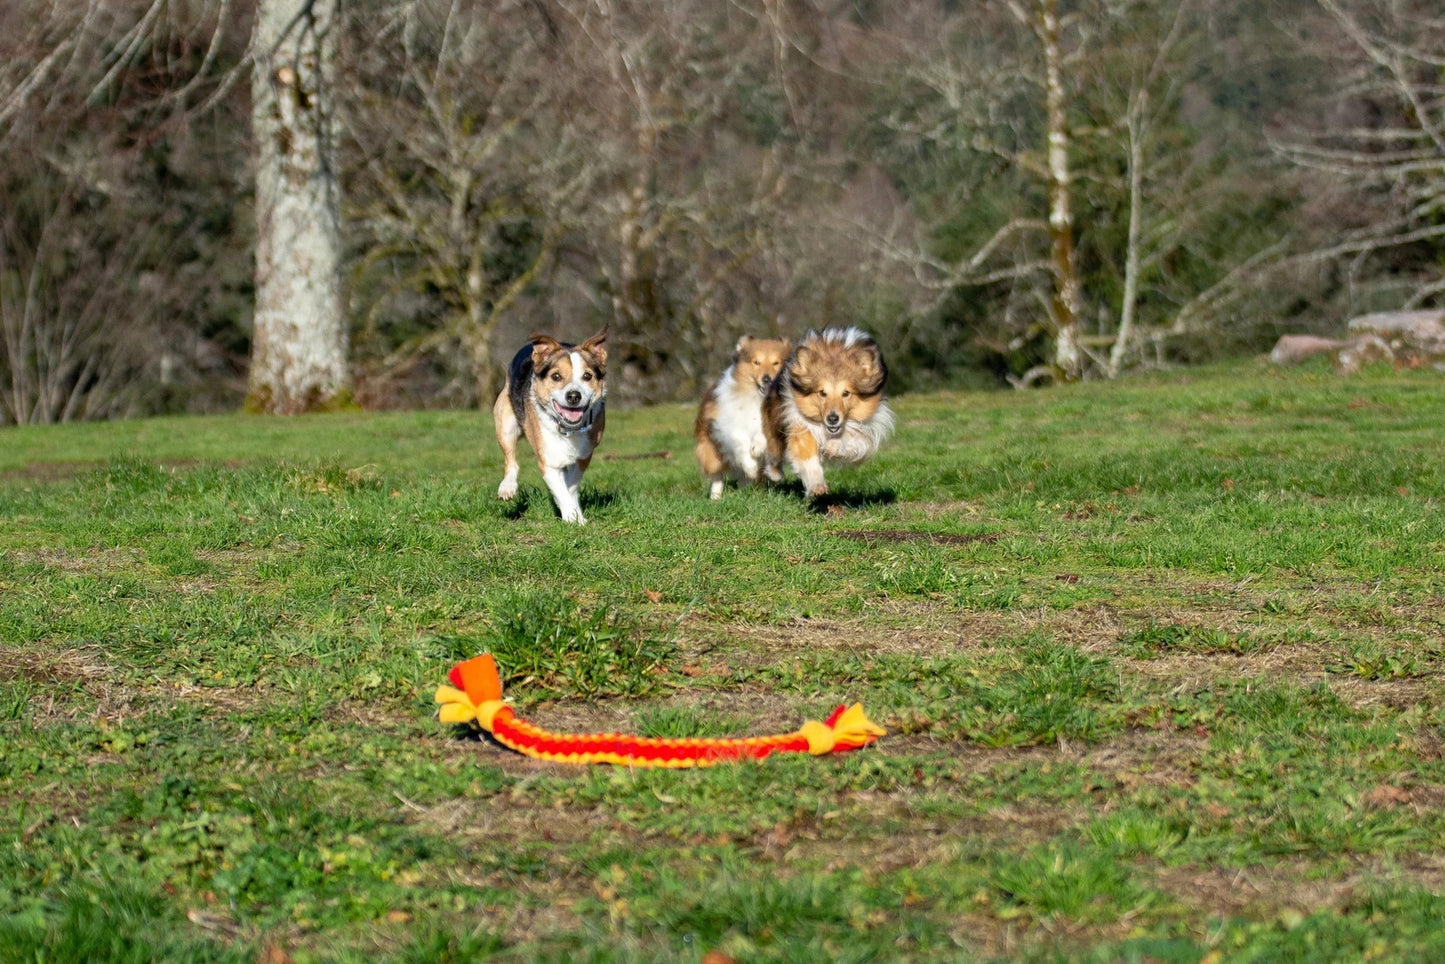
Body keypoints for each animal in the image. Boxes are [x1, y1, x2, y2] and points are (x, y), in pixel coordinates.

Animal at [494, 332, 606, 528]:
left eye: (587, 376)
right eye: (556, 376)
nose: (574, 396)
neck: (568, 428)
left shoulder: (583, 457)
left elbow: (571, 487)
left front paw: (576, 514)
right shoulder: (548, 461)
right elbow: (561, 489)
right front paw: (571, 517)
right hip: (505, 422)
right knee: (511, 460)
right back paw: (507, 487)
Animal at [690, 338, 791, 502]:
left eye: (776, 363)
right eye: (756, 362)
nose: (767, 379)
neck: (758, 397)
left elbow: (762, 436)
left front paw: (757, 448)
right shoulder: (728, 426)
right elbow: (741, 444)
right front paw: (751, 464)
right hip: (712, 452)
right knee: (717, 475)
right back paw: (716, 497)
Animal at [757, 328, 890, 502]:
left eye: (846, 393)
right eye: (822, 393)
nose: (832, 418)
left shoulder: (865, 432)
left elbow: (851, 441)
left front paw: (831, 448)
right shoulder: (800, 423)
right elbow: (807, 455)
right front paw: (817, 487)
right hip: (775, 421)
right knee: (774, 450)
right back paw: (775, 473)